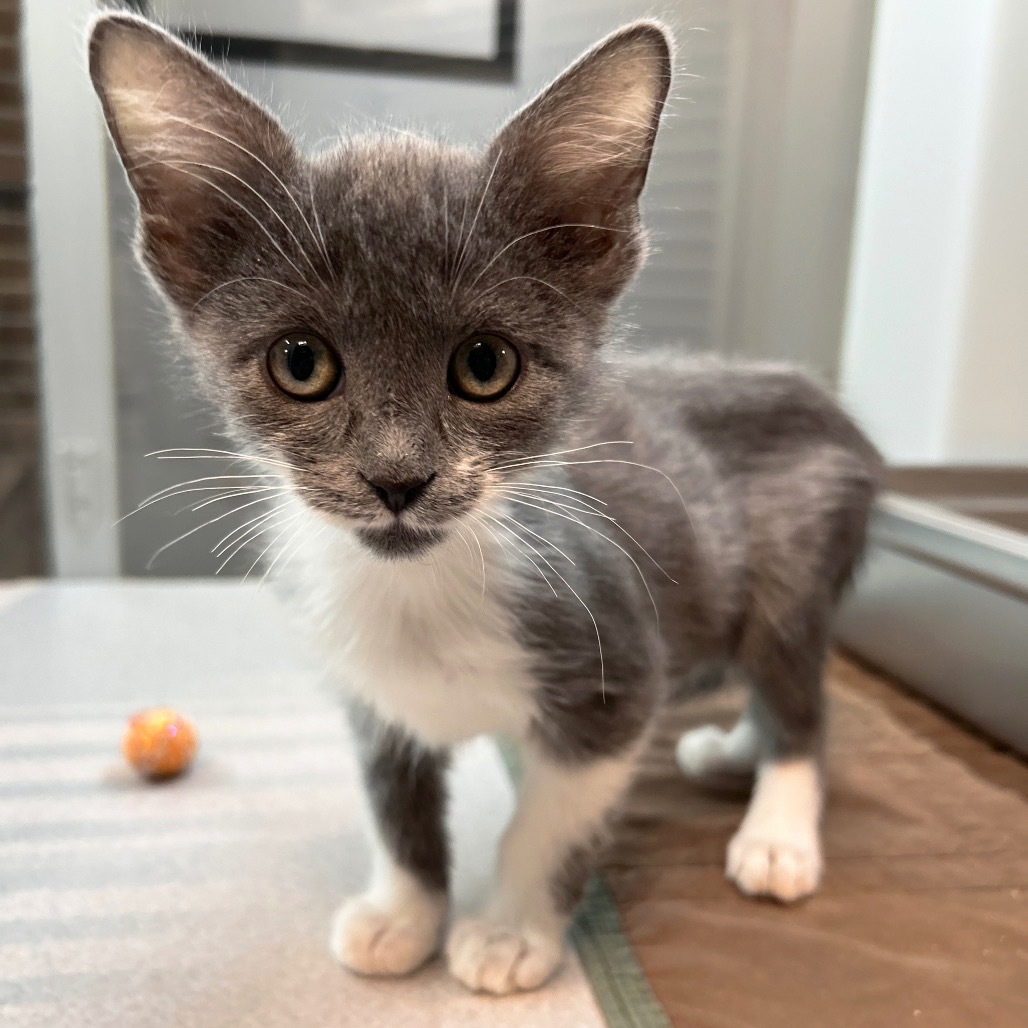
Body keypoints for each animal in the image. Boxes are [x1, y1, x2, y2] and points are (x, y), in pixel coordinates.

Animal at [88, 14, 884, 995]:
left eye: (485, 364)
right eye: (300, 362)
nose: (397, 479)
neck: (421, 589)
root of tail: (825, 401)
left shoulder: (613, 670)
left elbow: (547, 821)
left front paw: (508, 932)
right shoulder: (374, 699)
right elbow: (396, 809)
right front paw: (402, 915)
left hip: (793, 572)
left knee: (801, 701)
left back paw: (776, 832)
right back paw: (727, 751)